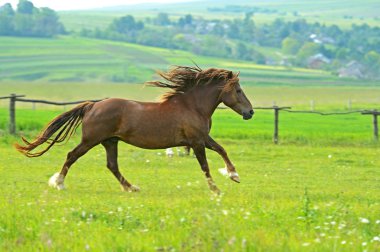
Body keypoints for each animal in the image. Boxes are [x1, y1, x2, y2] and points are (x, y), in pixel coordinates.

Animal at [14, 66, 254, 194]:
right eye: (238, 90)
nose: (250, 112)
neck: (192, 106)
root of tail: (92, 105)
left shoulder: (202, 138)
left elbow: (222, 150)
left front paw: (234, 175)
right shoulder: (196, 141)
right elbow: (205, 166)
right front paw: (216, 189)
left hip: (110, 141)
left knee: (112, 165)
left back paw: (131, 188)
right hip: (91, 140)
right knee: (72, 155)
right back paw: (59, 183)